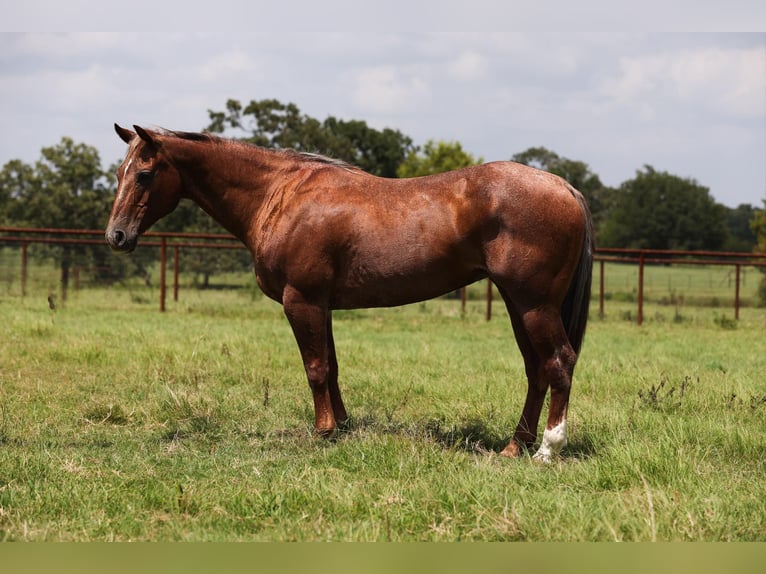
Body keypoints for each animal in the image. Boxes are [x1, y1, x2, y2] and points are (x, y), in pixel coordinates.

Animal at [105, 124, 594, 462]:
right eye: (119, 172)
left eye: (144, 174)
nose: (117, 235)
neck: (280, 195)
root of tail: (565, 187)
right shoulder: (322, 305)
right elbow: (333, 367)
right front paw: (340, 424)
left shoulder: (301, 300)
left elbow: (315, 368)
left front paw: (322, 431)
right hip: (518, 305)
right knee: (535, 369)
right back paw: (514, 446)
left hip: (534, 305)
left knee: (558, 362)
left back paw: (547, 449)